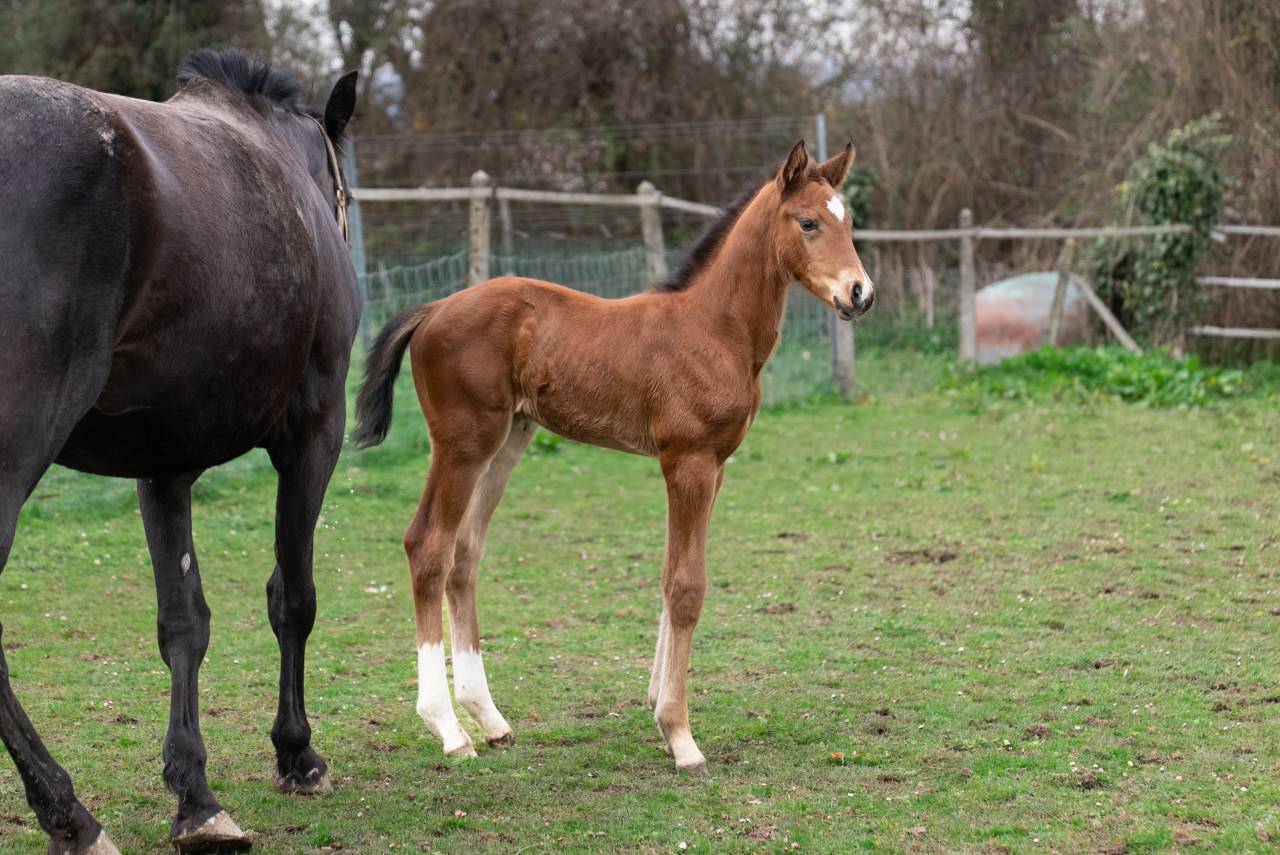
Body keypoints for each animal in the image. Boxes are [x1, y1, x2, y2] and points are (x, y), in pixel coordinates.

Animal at [0, 49, 359, 853]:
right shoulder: (314, 432)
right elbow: (293, 597)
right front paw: (297, 752)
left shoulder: (162, 467)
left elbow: (183, 623)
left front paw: (195, 795)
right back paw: (70, 814)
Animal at [352, 140, 874, 773]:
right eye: (808, 222)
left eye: (849, 220)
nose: (860, 293)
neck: (714, 327)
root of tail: (432, 309)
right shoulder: (688, 461)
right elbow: (688, 586)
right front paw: (679, 734)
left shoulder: (715, 466)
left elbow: (670, 574)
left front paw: (656, 706)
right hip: (462, 442)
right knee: (427, 546)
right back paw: (449, 729)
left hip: (507, 442)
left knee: (464, 554)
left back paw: (490, 719)